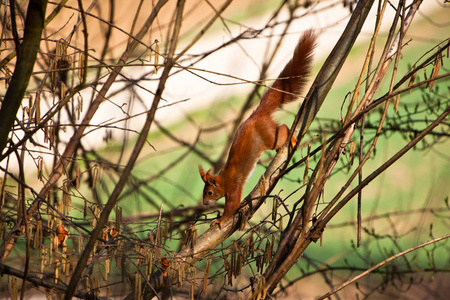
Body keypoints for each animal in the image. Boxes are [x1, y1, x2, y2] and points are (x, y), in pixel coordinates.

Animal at [200, 31, 316, 227]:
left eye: (209, 192)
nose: (204, 203)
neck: (223, 179)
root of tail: (256, 115)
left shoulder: (233, 188)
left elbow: (232, 206)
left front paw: (220, 220)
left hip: (269, 136)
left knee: (283, 129)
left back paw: (291, 138)